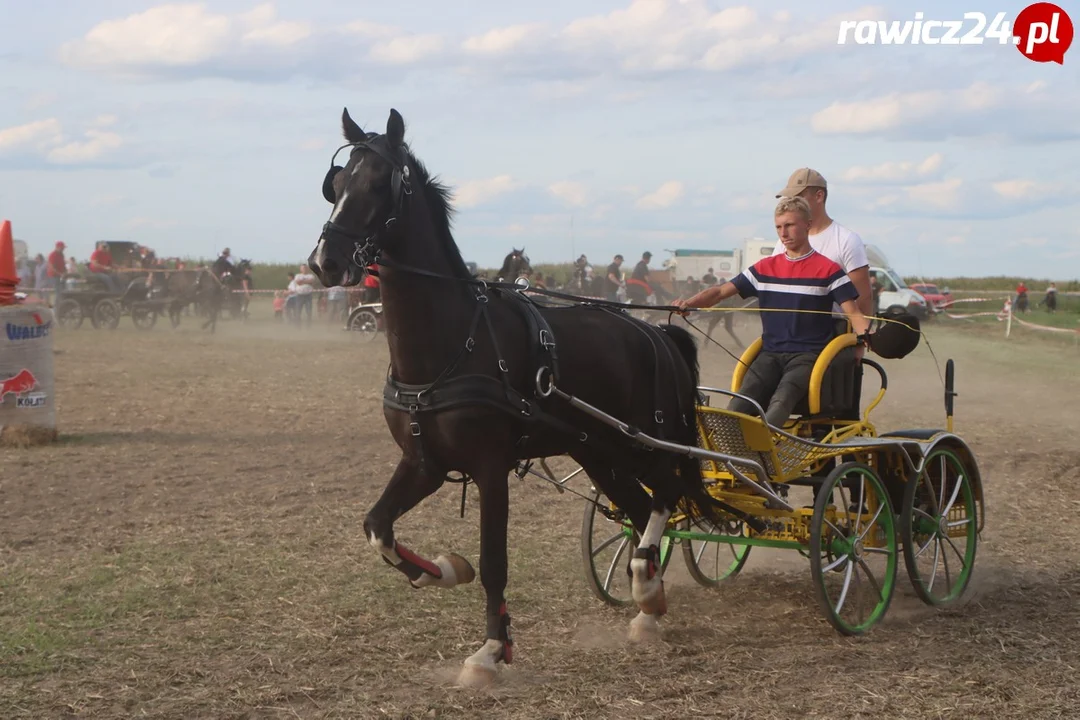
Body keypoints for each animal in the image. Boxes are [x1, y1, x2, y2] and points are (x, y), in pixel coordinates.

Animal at [306, 105, 725, 686]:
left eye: (377, 183)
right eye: (337, 183)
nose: (324, 261)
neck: (454, 342)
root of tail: (656, 333)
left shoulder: (490, 466)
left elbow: (495, 561)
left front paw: (490, 650)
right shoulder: (424, 461)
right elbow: (378, 528)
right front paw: (444, 569)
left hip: (642, 442)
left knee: (665, 494)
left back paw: (645, 587)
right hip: (599, 452)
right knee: (642, 510)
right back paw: (648, 606)